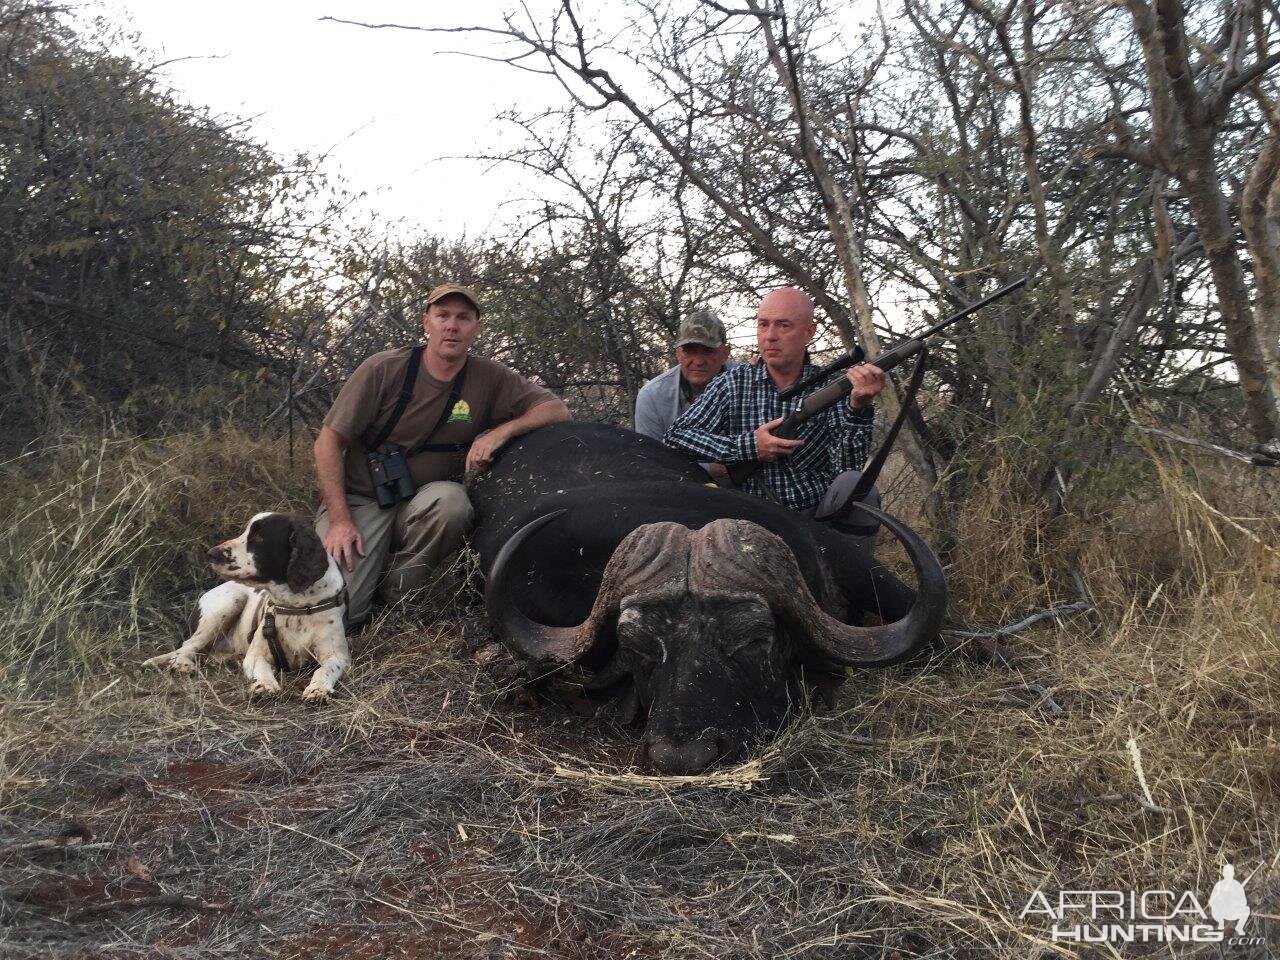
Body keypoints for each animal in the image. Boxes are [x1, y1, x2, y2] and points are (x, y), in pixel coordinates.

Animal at [145, 514, 350, 701]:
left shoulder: (336, 655)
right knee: (186, 646)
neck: (295, 605)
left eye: (259, 536)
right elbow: (262, 669)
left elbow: (323, 670)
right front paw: (265, 686)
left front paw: (318, 689)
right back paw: (182, 665)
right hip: (228, 604)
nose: (212, 553)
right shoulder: (256, 655)